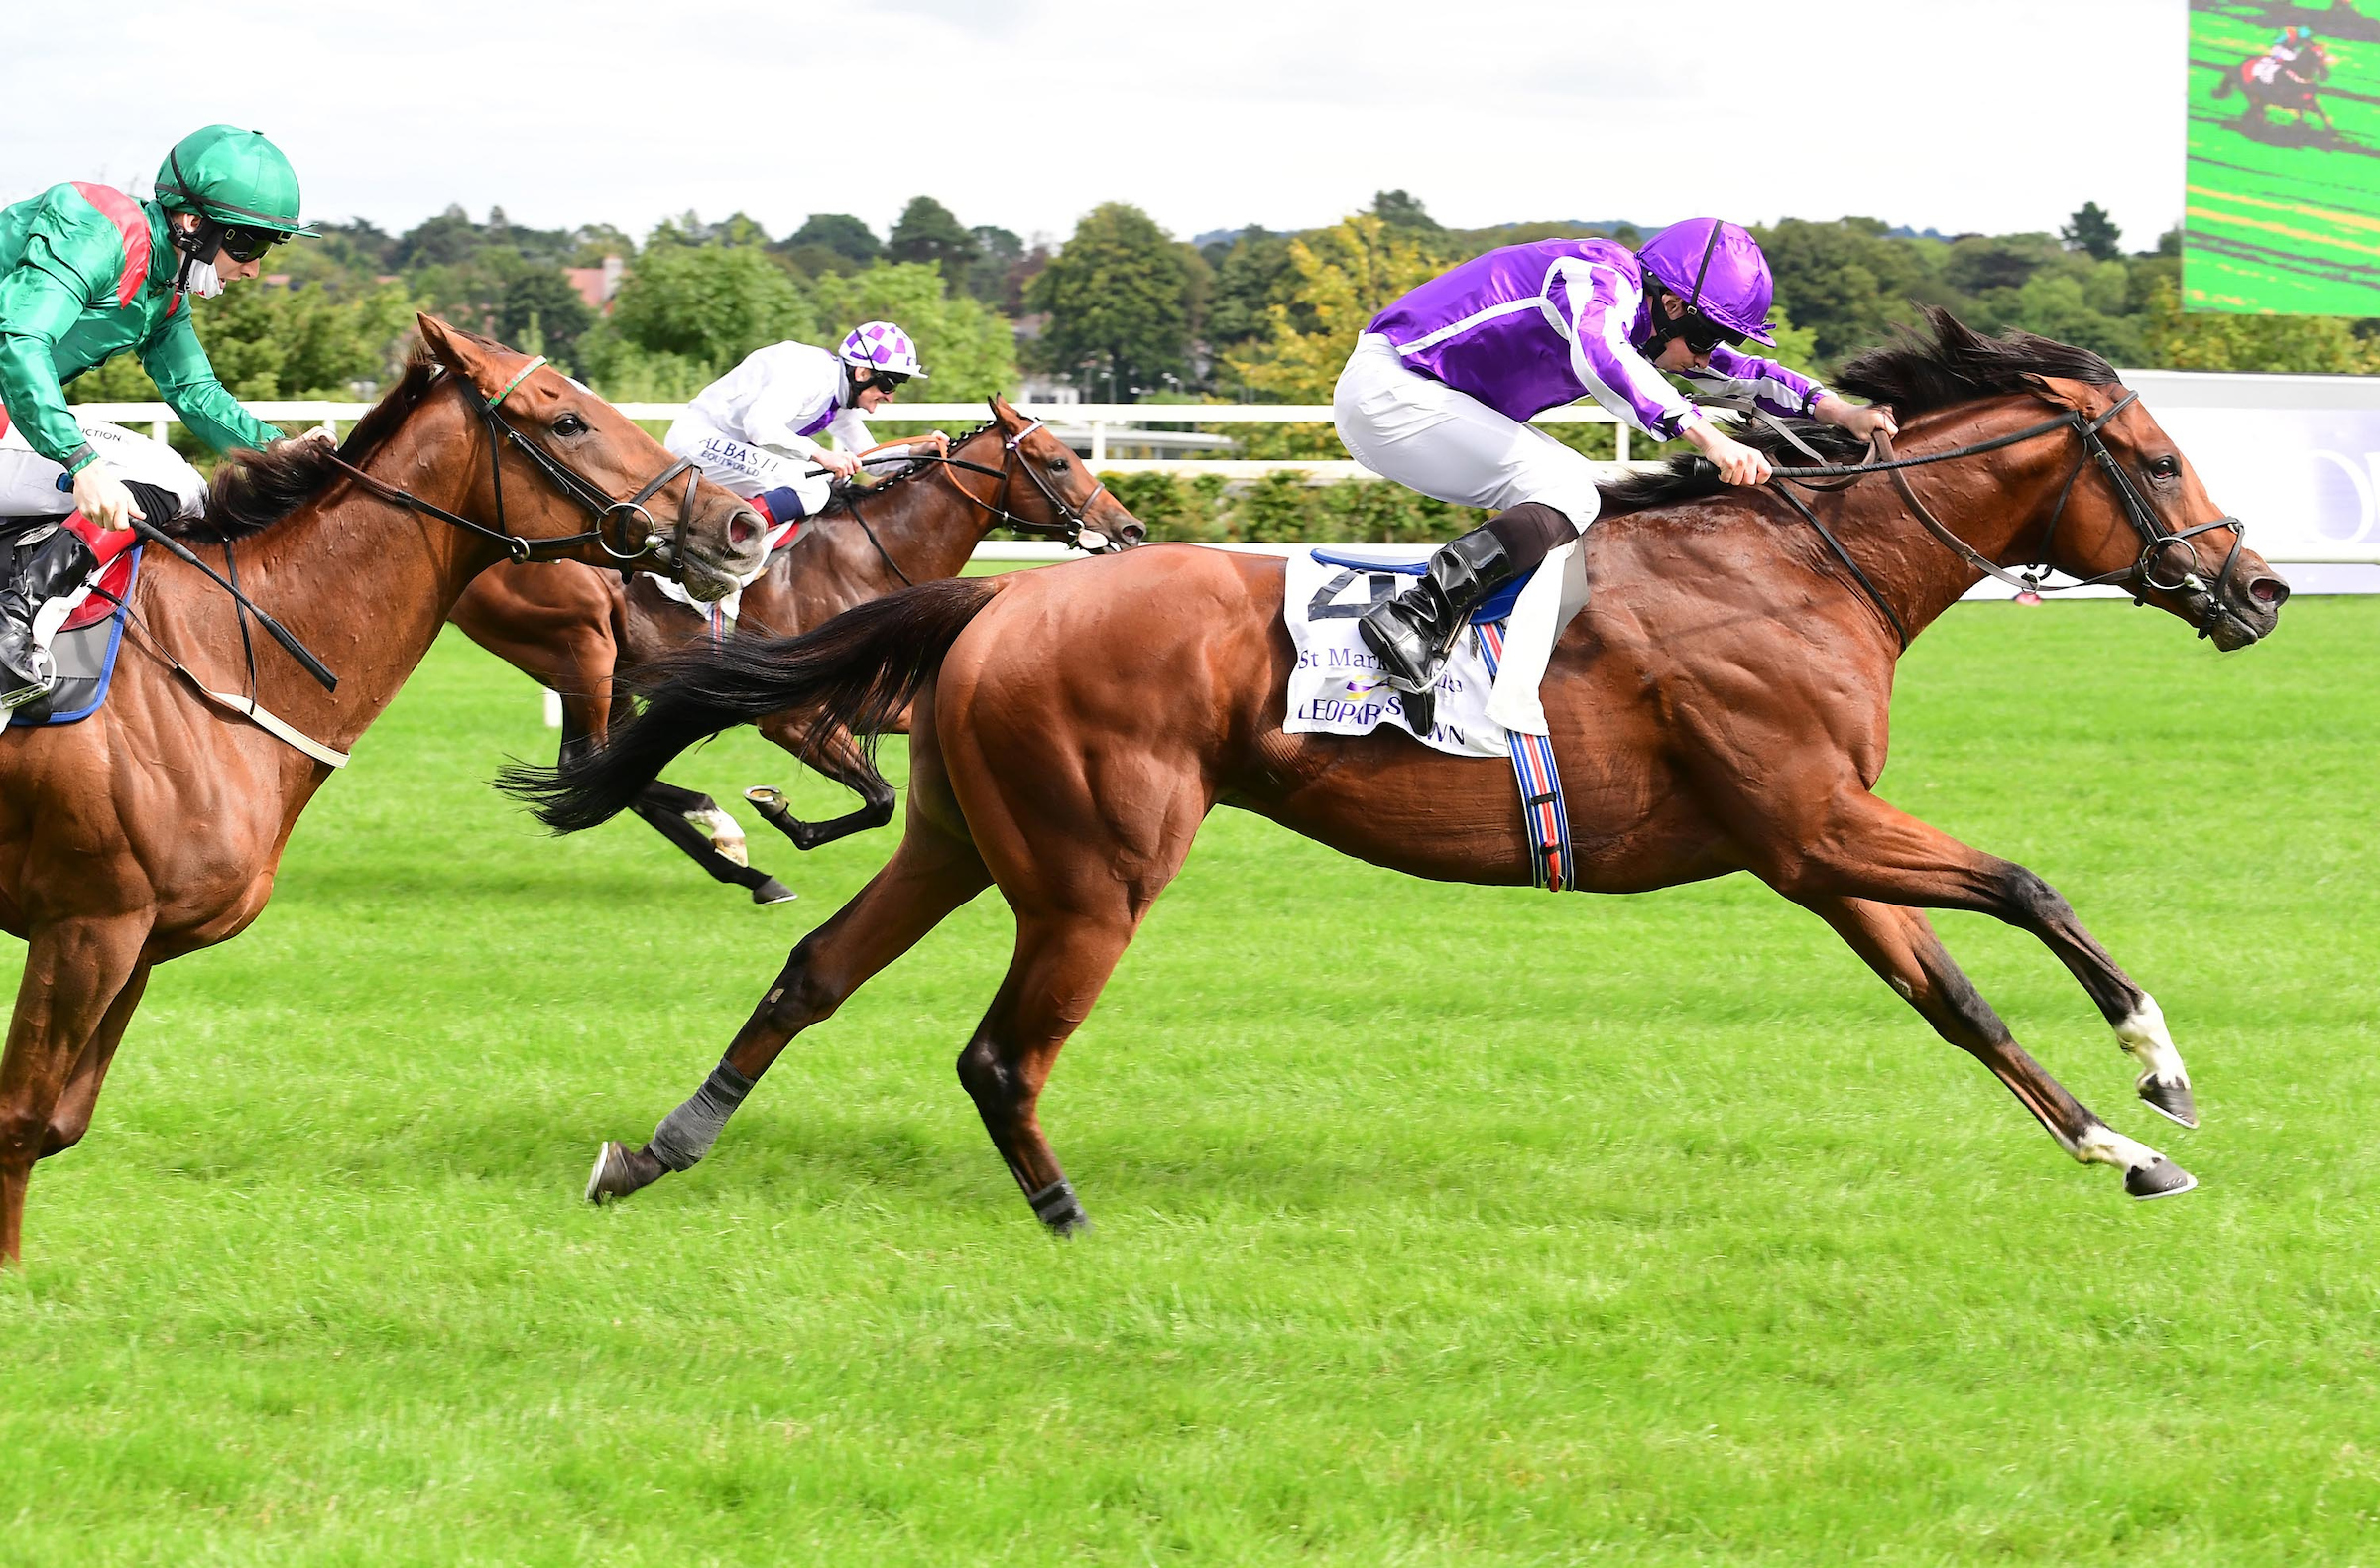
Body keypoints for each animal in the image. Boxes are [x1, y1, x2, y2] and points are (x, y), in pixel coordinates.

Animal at [0, 318, 766, 1266]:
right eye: (568, 420)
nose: (743, 523)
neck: (218, 649)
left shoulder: (136, 942)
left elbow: (60, 1119)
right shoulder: (86, 927)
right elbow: (20, 1117)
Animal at [456, 400, 1151, 899]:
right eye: (1058, 462)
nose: (1130, 527)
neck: (866, 557)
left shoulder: (881, 699)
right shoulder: (790, 716)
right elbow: (880, 799)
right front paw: (779, 814)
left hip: (614, 671)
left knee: (615, 765)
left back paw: (743, 868)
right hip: (583, 650)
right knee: (593, 765)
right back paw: (726, 833)